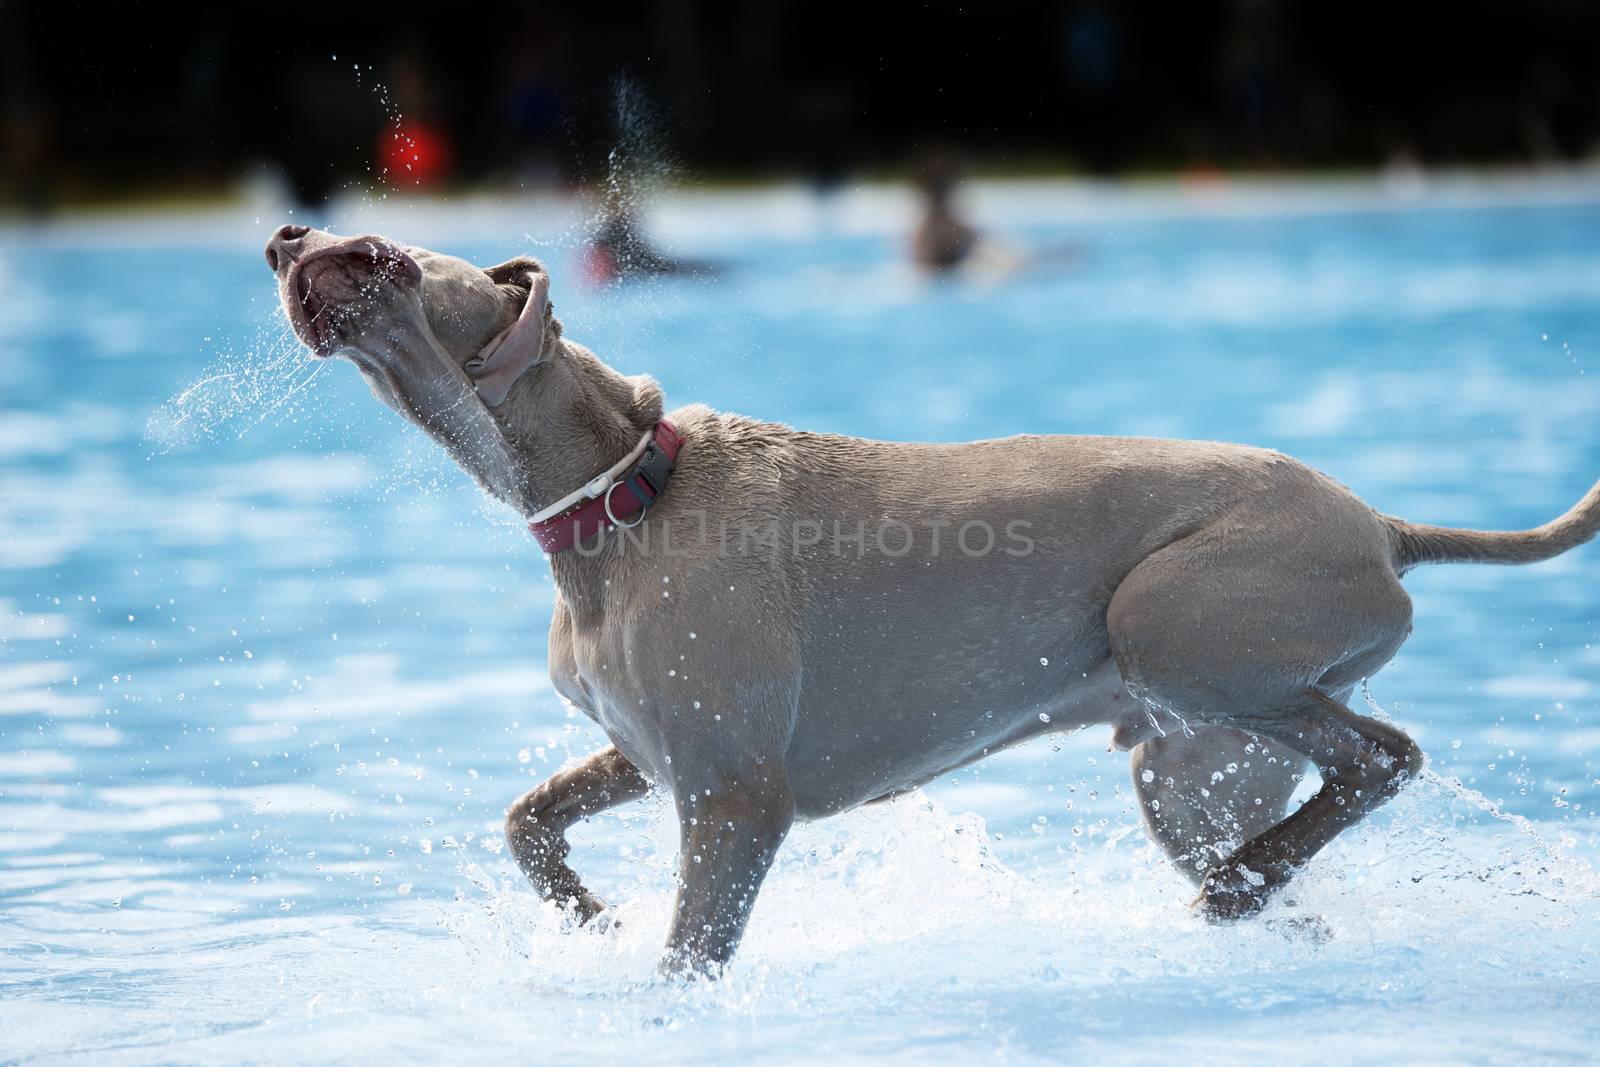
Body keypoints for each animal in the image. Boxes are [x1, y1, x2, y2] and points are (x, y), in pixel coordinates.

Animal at [265, 225, 1600, 979]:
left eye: (381, 250)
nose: (282, 232)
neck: (618, 491)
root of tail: (1382, 523)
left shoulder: (735, 795)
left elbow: (688, 954)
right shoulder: (649, 751)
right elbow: (526, 820)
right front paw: (585, 918)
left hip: (1180, 626)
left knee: (1383, 753)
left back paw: (1242, 882)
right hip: (1188, 764)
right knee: (1300, 813)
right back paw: (1245, 891)